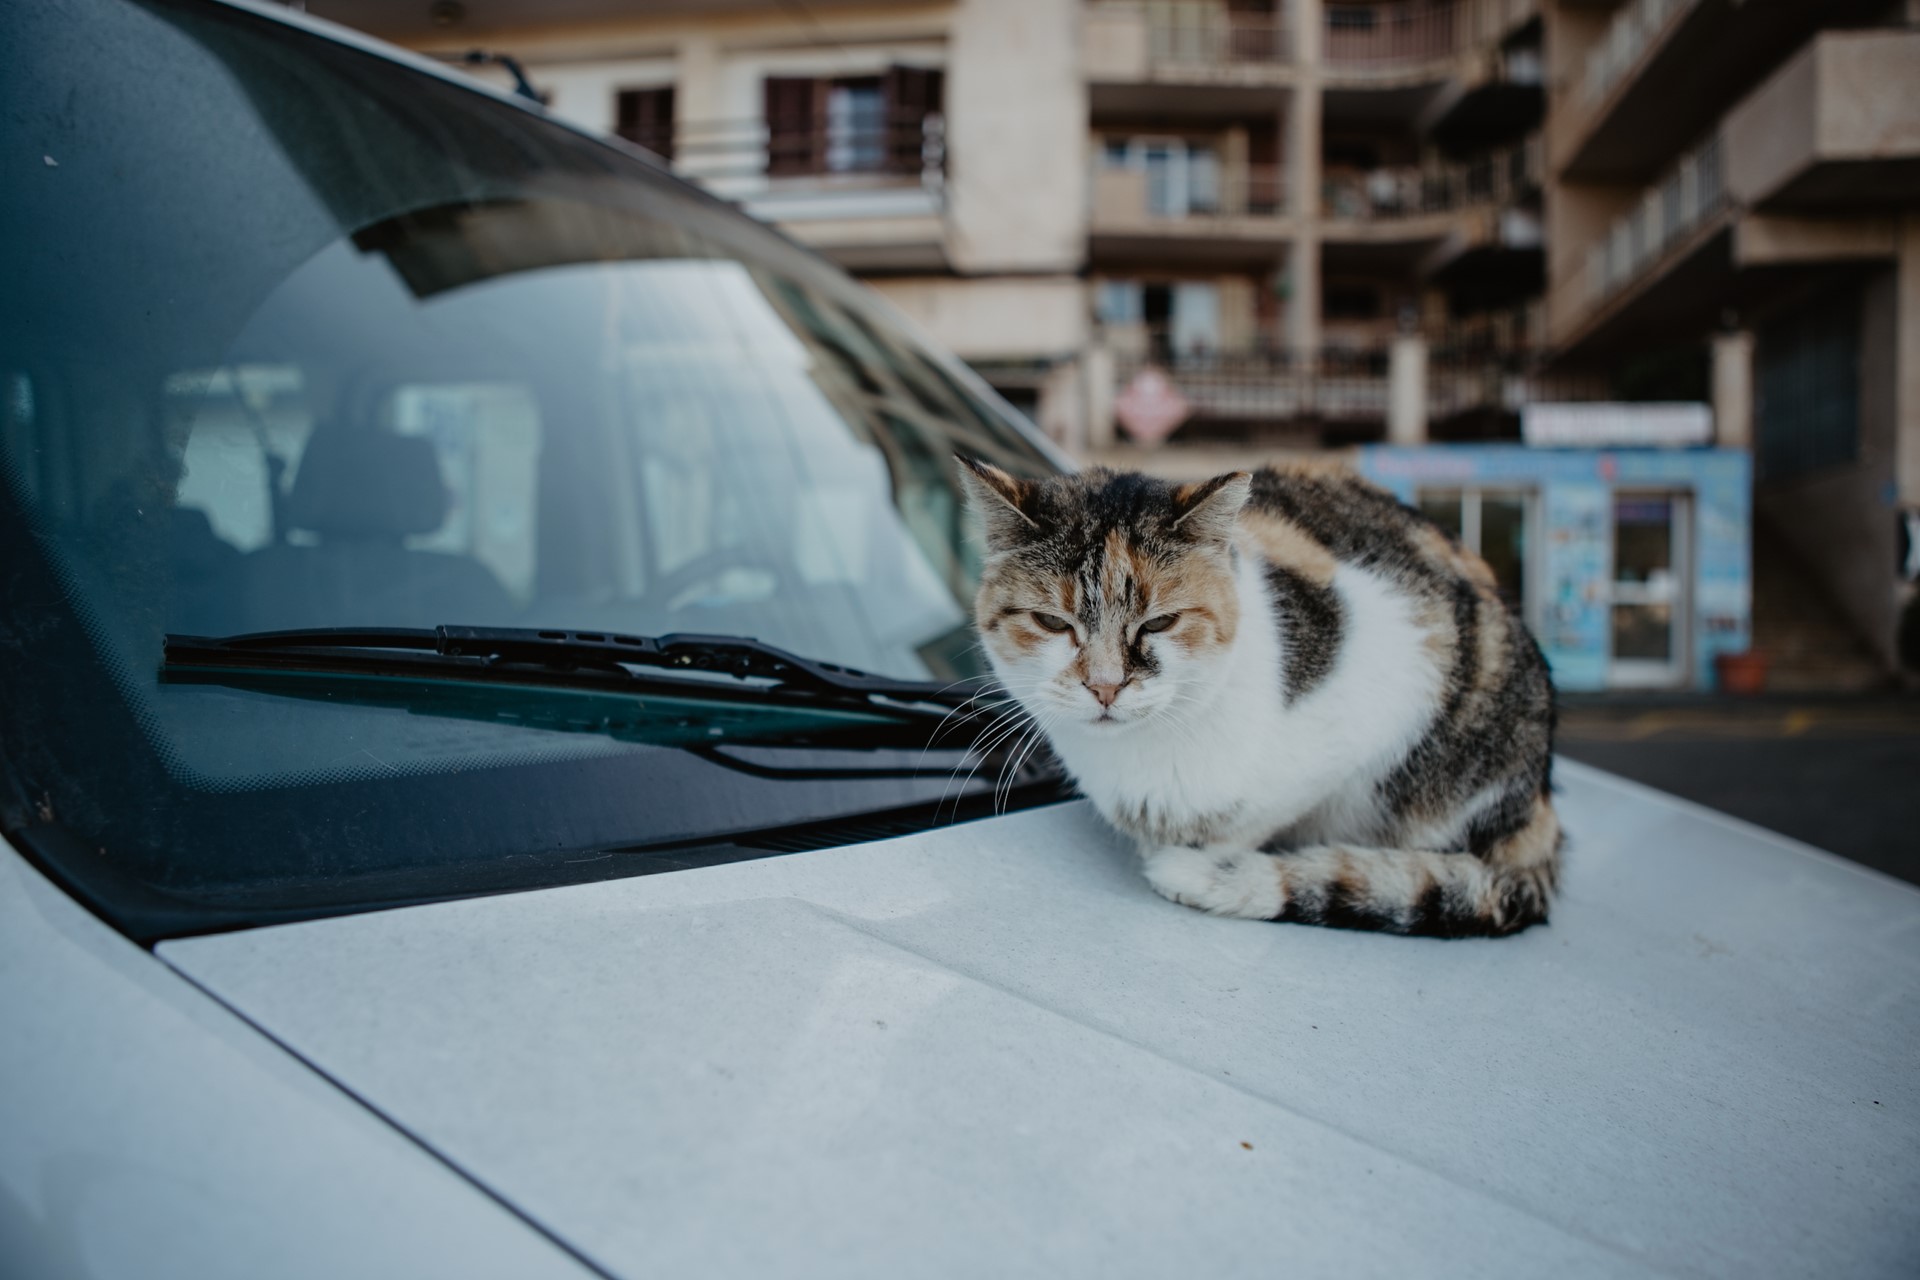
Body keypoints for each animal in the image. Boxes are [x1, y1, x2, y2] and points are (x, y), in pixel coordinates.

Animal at [960, 460, 1559, 940]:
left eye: (1160, 622)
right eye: (1050, 623)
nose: (1105, 686)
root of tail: (1541, 797)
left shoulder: (1395, 670)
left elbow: (1245, 825)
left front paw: (1199, 866)